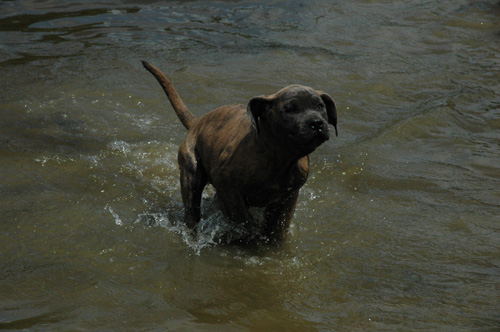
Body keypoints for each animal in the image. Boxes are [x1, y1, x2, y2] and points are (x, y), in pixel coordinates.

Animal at [142, 61, 336, 241]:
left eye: (320, 106)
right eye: (290, 109)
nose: (316, 123)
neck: (279, 156)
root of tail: (197, 122)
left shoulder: (288, 197)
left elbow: (276, 227)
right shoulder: (227, 186)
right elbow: (243, 219)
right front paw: (248, 234)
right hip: (191, 177)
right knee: (192, 211)